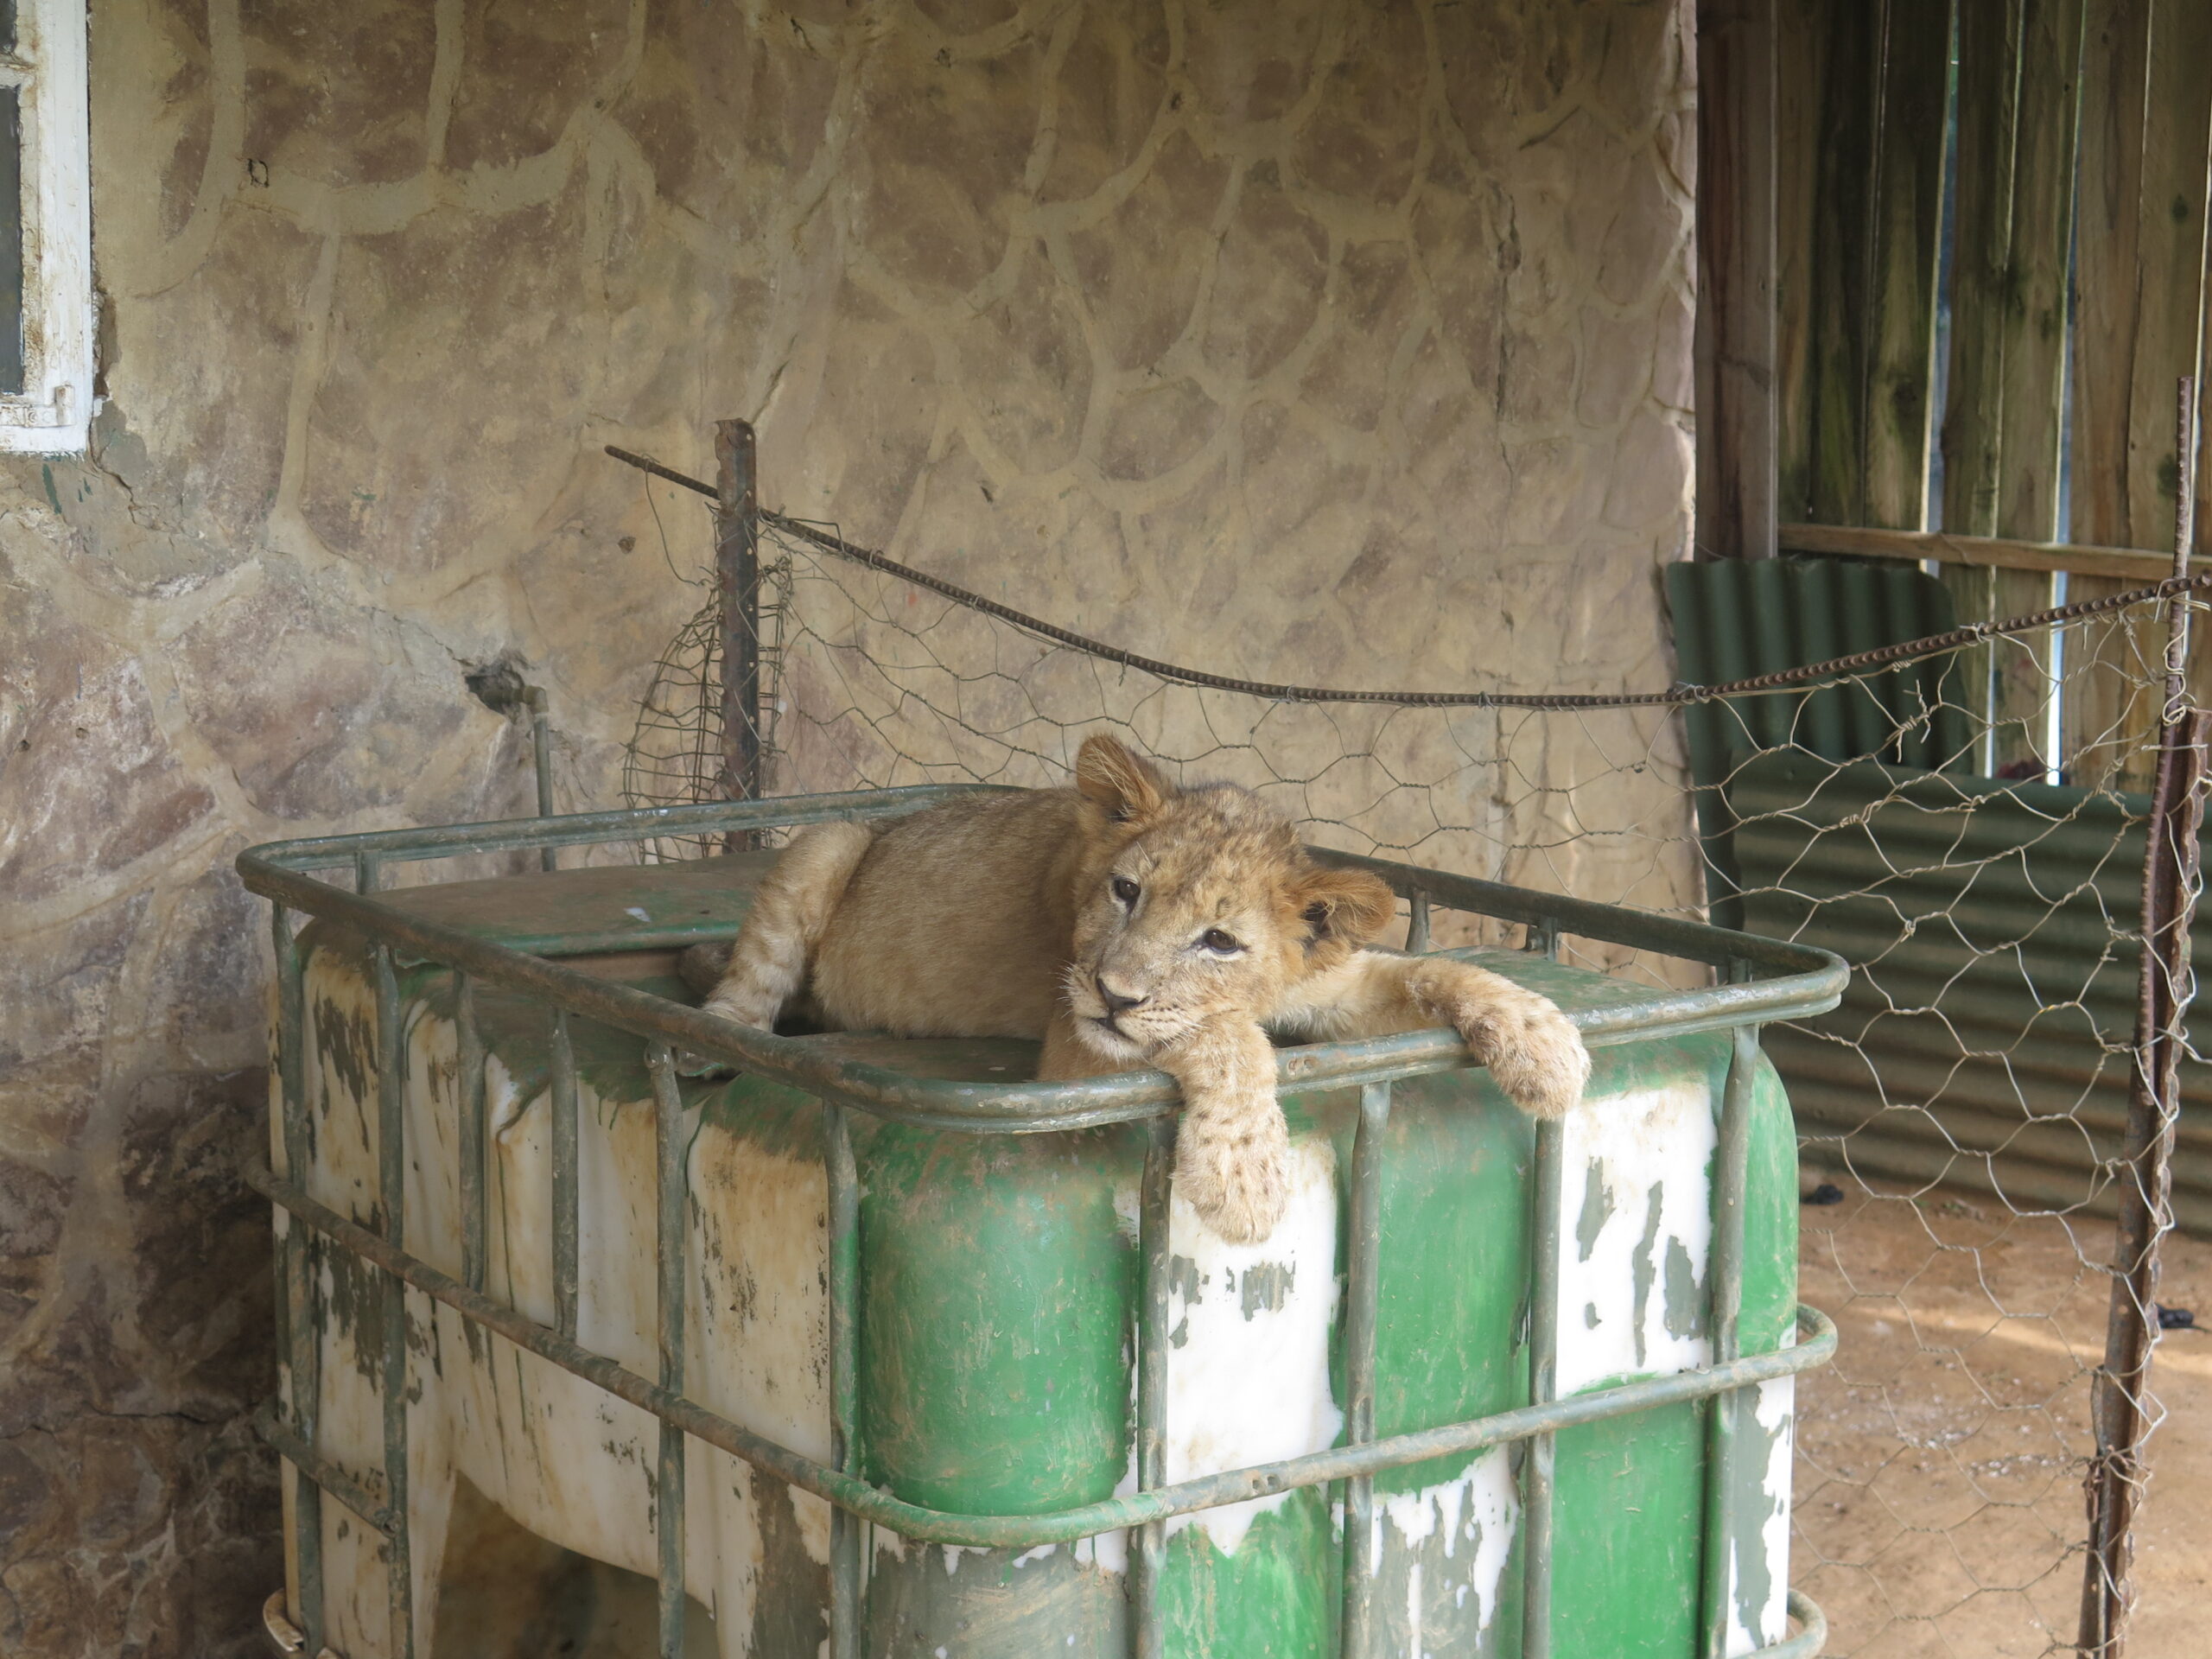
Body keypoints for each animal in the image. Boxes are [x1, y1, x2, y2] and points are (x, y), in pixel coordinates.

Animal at [685, 733, 1589, 1242]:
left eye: (1219, 940)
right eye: (1126, 892)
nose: (1115, 994)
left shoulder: (1333, 981)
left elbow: (1431, 968)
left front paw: (1546, 1045)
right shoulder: (1071, 1054)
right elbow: (1224, 1037)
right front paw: (1245, 1177)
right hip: (828, 842)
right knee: (742, 986)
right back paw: (722, 1039)